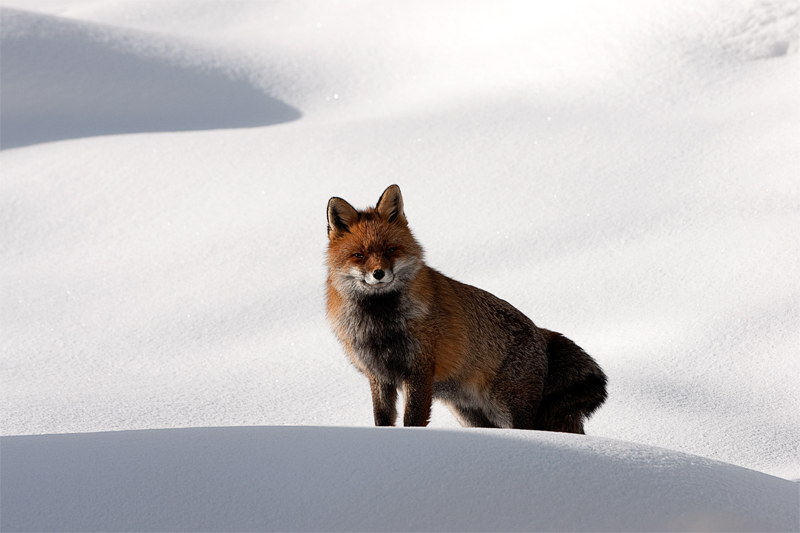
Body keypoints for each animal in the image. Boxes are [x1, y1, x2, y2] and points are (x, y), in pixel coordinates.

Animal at [324, 185, 608, 430]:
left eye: (391, 250)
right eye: (359, 255)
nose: (379, 274)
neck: (380, 323)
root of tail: (542, 333)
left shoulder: (419, 368)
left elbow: (413, 418)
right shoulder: (378, 375)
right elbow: (382, 419)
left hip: (508, 408)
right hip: (470, 414)